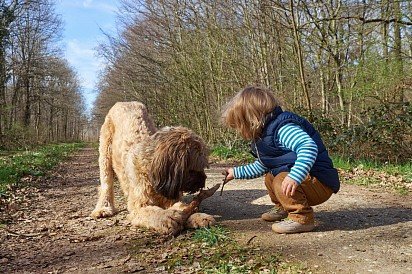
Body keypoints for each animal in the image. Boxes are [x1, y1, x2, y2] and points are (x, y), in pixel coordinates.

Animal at [91, 101, 216, 234]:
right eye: (193, 169)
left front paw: (198, 216)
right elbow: (150, 211)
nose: (203, 182)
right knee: (106, 184)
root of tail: (123, 102)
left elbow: (185, 206)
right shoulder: (138, 206)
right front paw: (166, 217)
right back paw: (103, 208)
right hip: (105, 155)